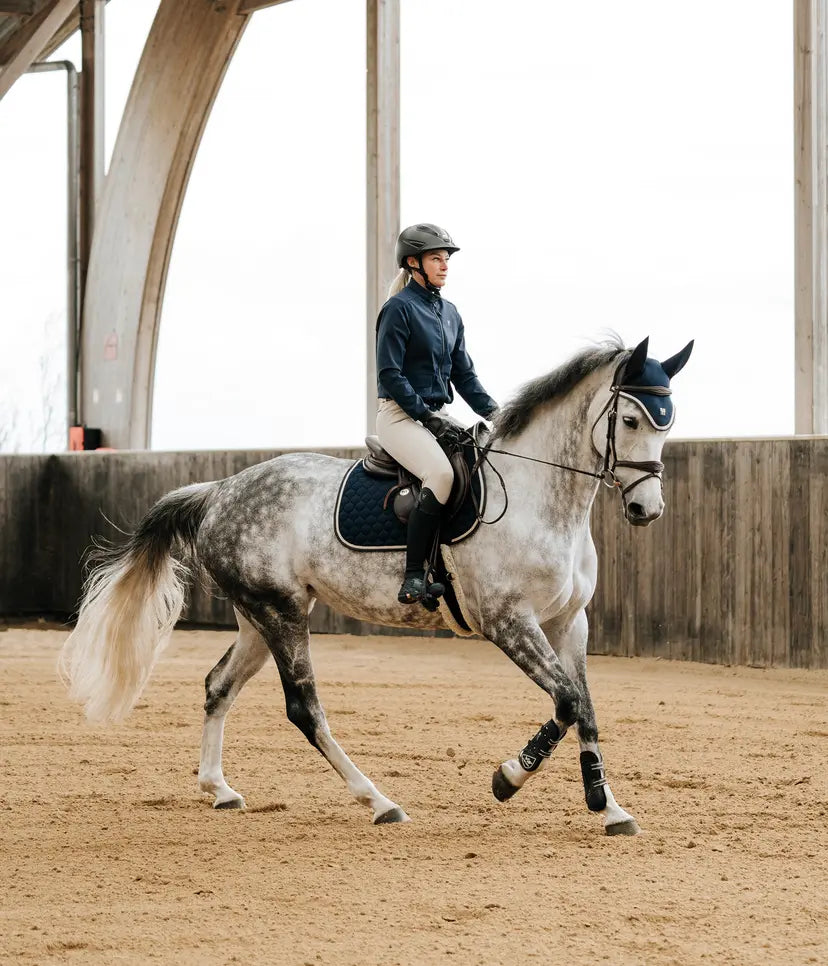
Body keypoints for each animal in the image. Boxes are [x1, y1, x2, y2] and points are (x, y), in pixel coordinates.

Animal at [59, 334, 692, 835]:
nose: (647, 509)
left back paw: (220, 789)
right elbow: (565, 701)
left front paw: (608, 807)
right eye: (631, 420)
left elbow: (584, 706)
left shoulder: (568, 621)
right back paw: (379, 801)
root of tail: (218, 491)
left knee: (219, 686)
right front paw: (508, 779)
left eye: (668, 422)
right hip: (282, 614)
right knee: (304, 708)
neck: (539, 498)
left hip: (260, 617)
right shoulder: (508, 620)